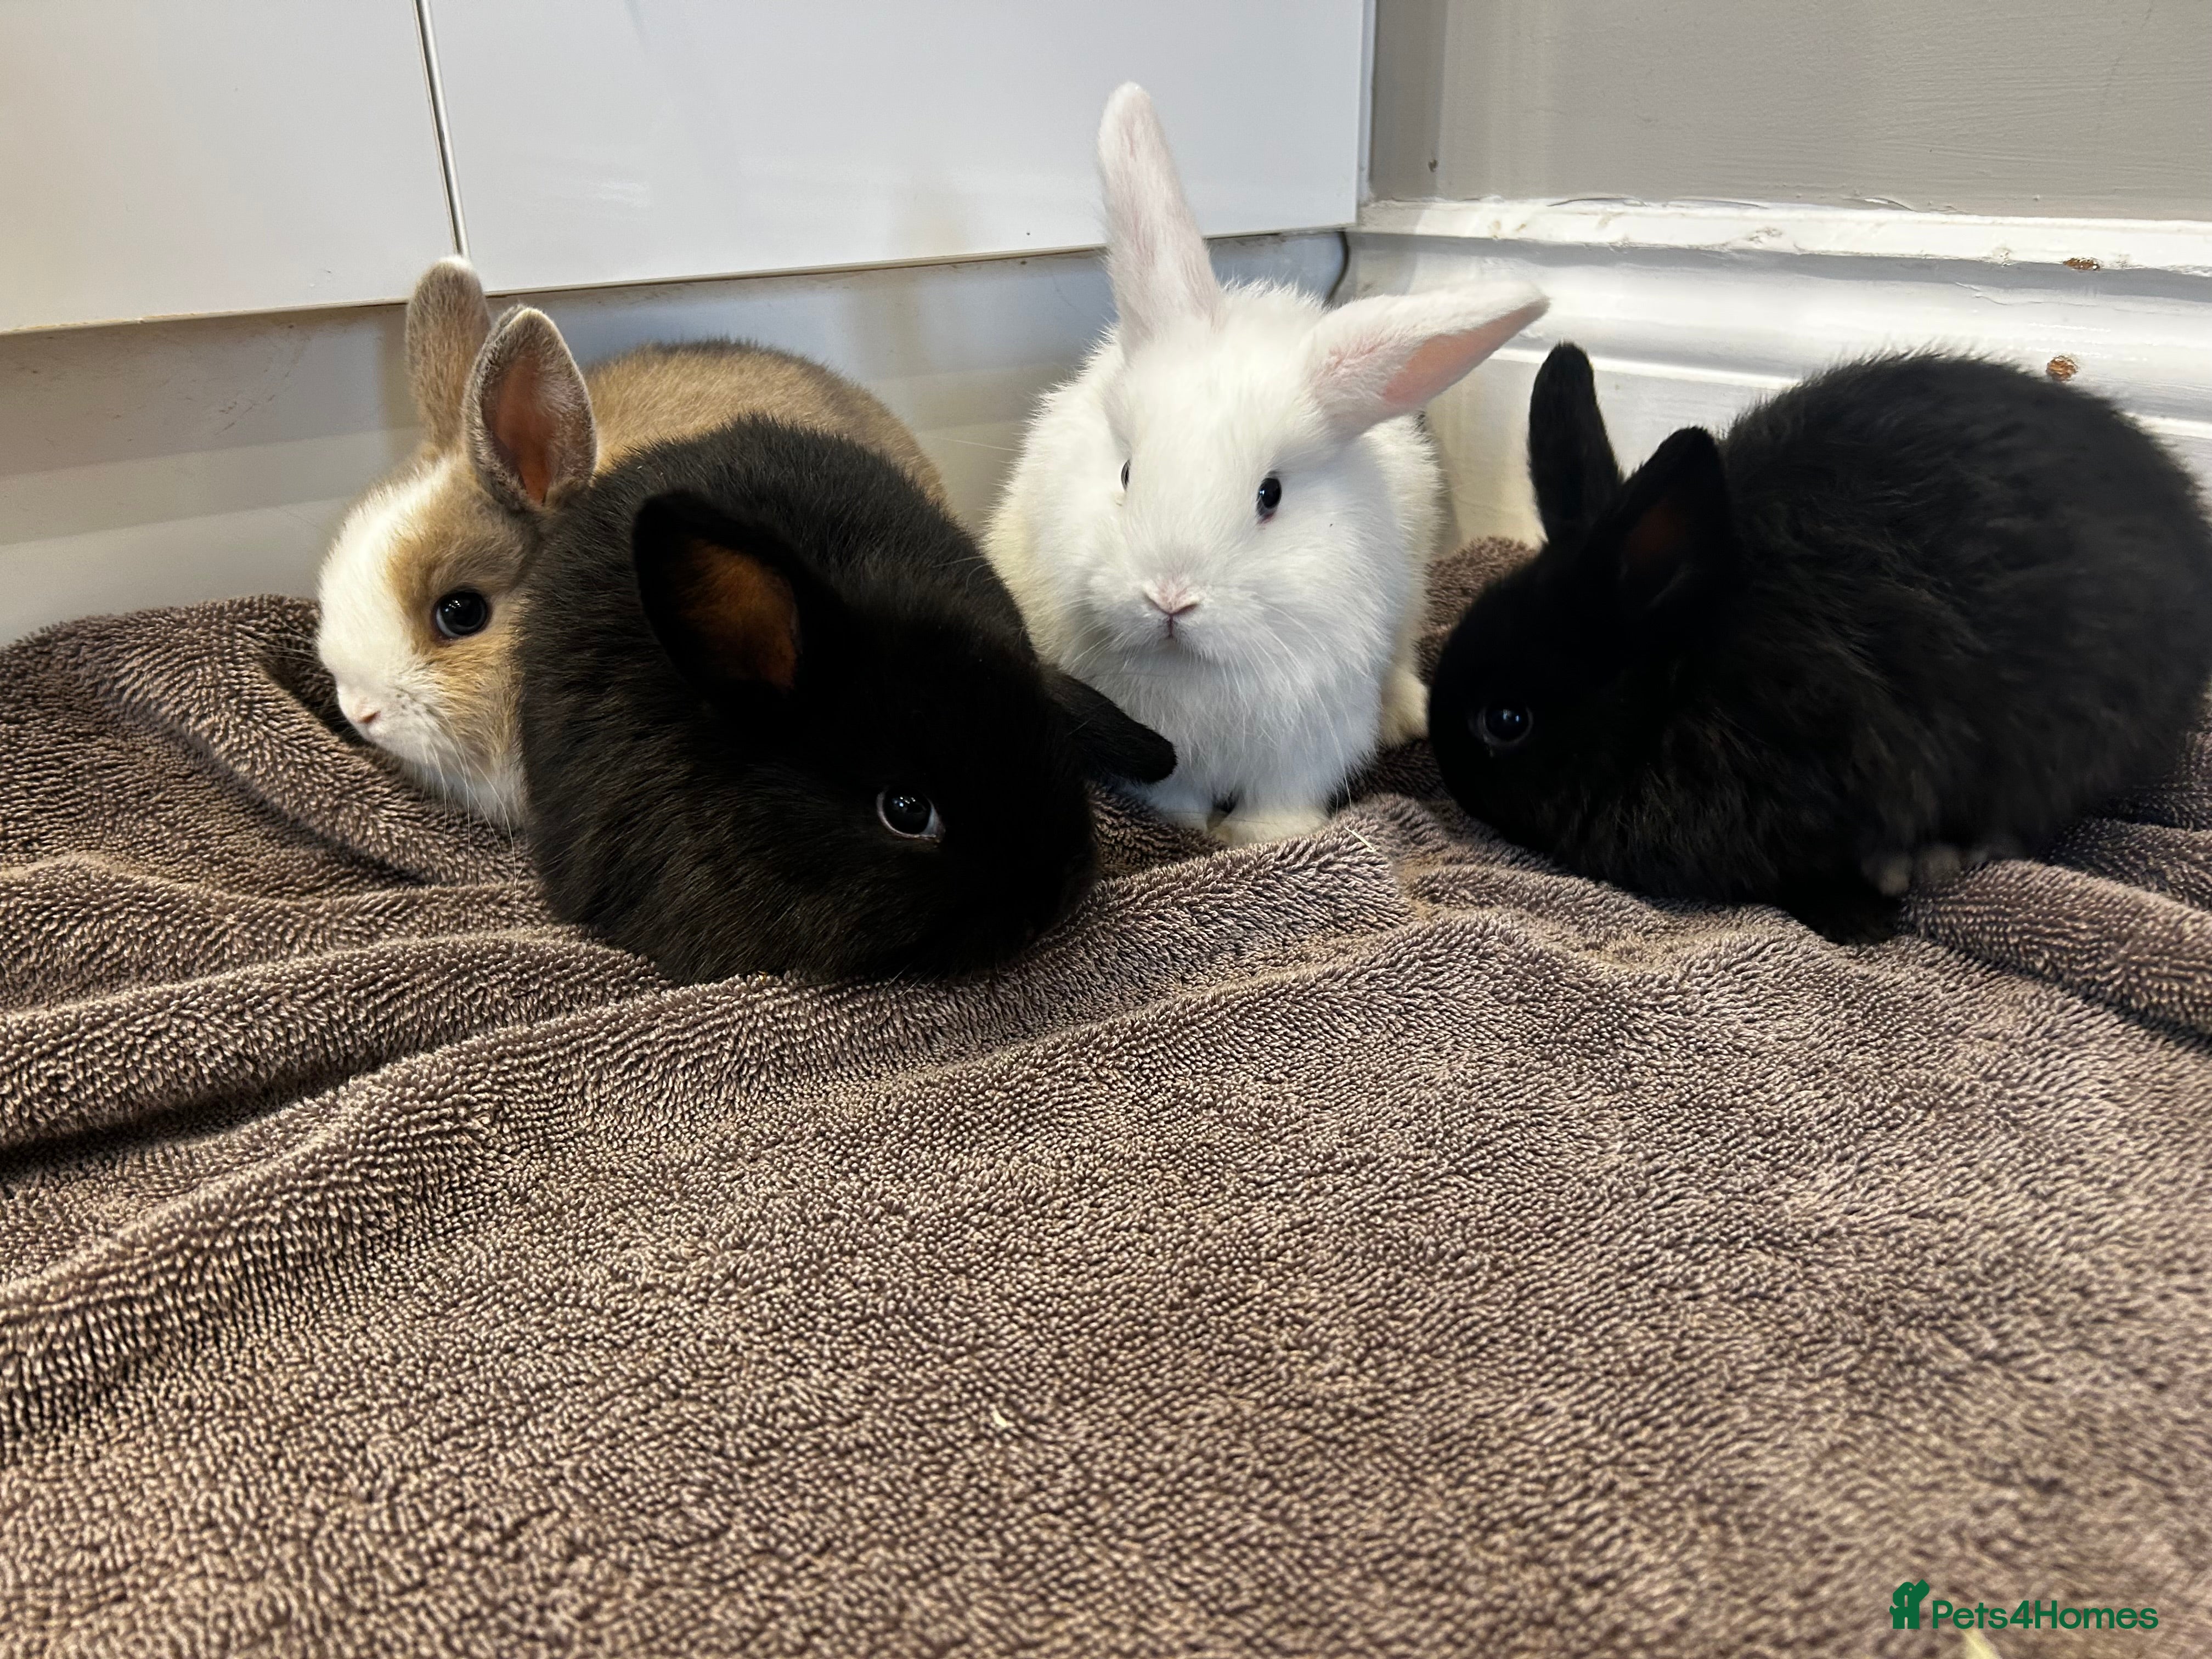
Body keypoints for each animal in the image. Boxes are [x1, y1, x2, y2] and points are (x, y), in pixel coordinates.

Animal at [982, 83, 1548, 847]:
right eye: (1127, 474)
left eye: (1270, 495)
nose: (1169, 598)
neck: (1195, 670)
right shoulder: (1154, 747)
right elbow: (1174, 794)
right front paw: (1187, 829)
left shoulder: (1310, 737)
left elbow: (1285, 795)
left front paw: (1264, 840)